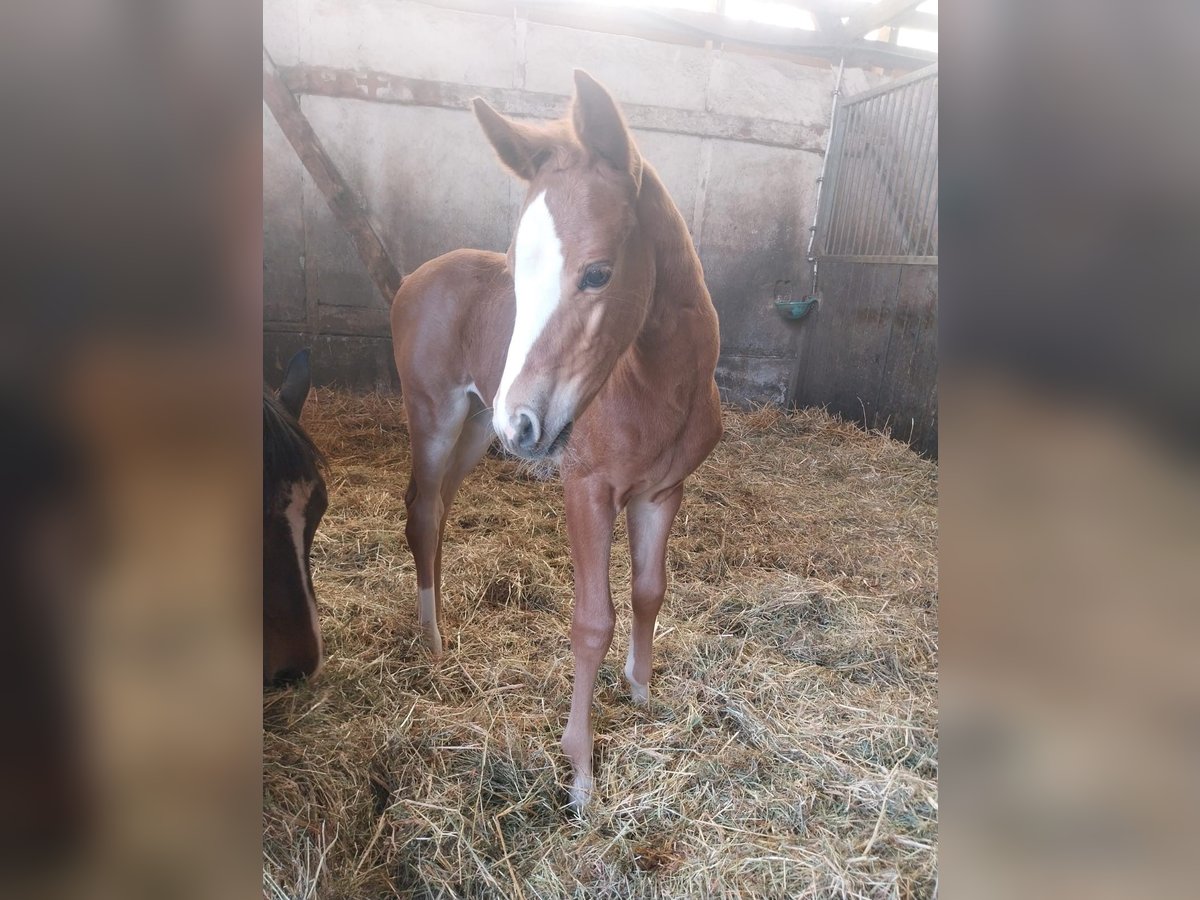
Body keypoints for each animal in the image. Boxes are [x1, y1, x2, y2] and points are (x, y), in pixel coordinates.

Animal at [391, 70, 720, 811]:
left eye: (597, 272)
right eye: (517, 272)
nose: (523, 425)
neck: (655, 385)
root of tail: (412, 277)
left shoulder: (663, 491)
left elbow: (651, 590)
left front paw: (641, 691)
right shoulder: (587, 490)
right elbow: (592, 620)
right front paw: (580, 772)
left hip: (475, 428)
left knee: (441, 507)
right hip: (438, 415)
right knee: (422, 510)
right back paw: (432, 637)